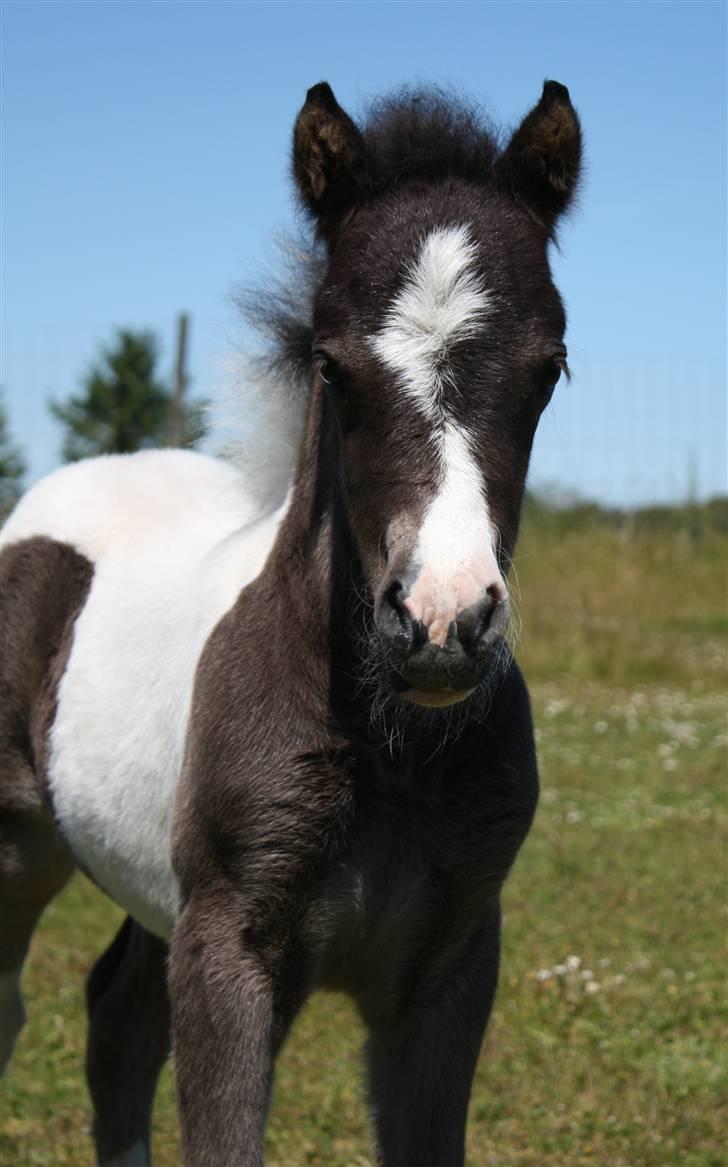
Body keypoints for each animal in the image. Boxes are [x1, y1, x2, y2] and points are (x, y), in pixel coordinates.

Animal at [0, 82, 581, 1167]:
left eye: (549, 368)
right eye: (331, 367)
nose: (440, 622)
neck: (392, 751)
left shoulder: (449, 969)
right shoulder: (228, 951)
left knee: (118, 1024)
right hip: (23, 848)